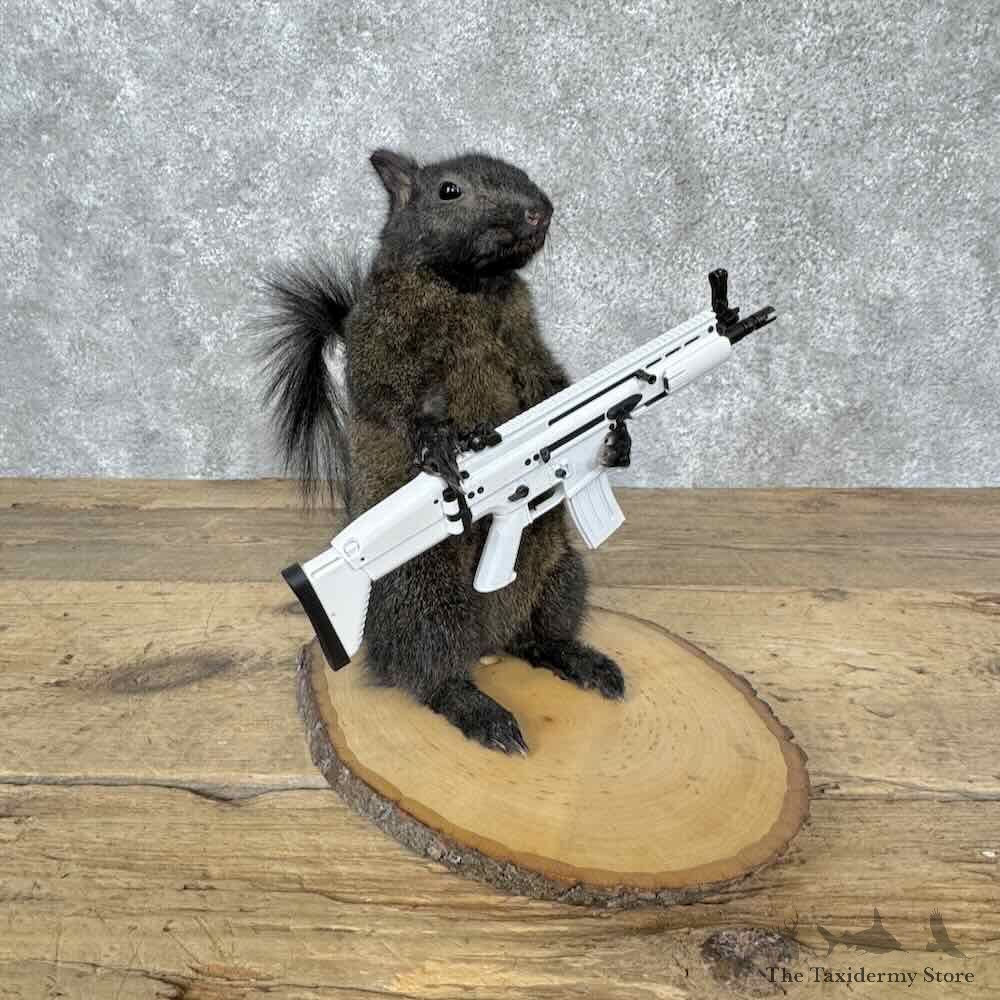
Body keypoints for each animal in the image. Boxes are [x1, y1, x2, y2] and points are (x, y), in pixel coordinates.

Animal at [260, 148, 630, 754]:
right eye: (448, 191)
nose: (539, 211)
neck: (469, 286)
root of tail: (489, 637)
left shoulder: (523, 333)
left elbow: (549, 384)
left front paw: (615, 440)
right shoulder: (381, 335)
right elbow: (391, 396)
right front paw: (440, 445)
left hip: (561, 575)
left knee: (537, 639)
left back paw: (580, 660)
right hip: (426, 601)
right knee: (429, 676)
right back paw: (483, 713)